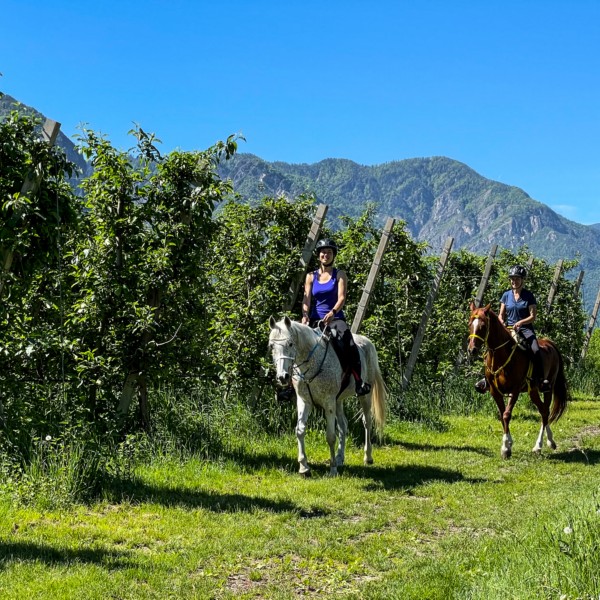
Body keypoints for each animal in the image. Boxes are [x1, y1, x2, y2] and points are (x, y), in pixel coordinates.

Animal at [268, 314, 390, 478]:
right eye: (271, 346)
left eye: (290, 344)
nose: (283, 377)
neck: (312, 362)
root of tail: (368, 342)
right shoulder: (304, 401)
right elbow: (300, 430)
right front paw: (304, 467)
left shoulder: (328, 402)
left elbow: (331, 436)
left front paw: (332, 469)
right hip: (338, 401)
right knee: (343, 426)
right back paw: (340, 458)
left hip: (365, 396)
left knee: (367, 422)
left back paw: (368, 457)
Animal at [468, 300, 568, 460]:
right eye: (470, 324)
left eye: (483, 326)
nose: (472, 350)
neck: (501, 356)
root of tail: (550, 343)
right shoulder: (495, 391)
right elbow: (502, 415)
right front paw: (506, 447)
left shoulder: (514, 389)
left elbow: (507, 415)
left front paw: (506, 448)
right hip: (532, 391)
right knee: (543, 410)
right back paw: (544, 444)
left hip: (548, 387)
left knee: (545, 411)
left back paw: (542, 444)